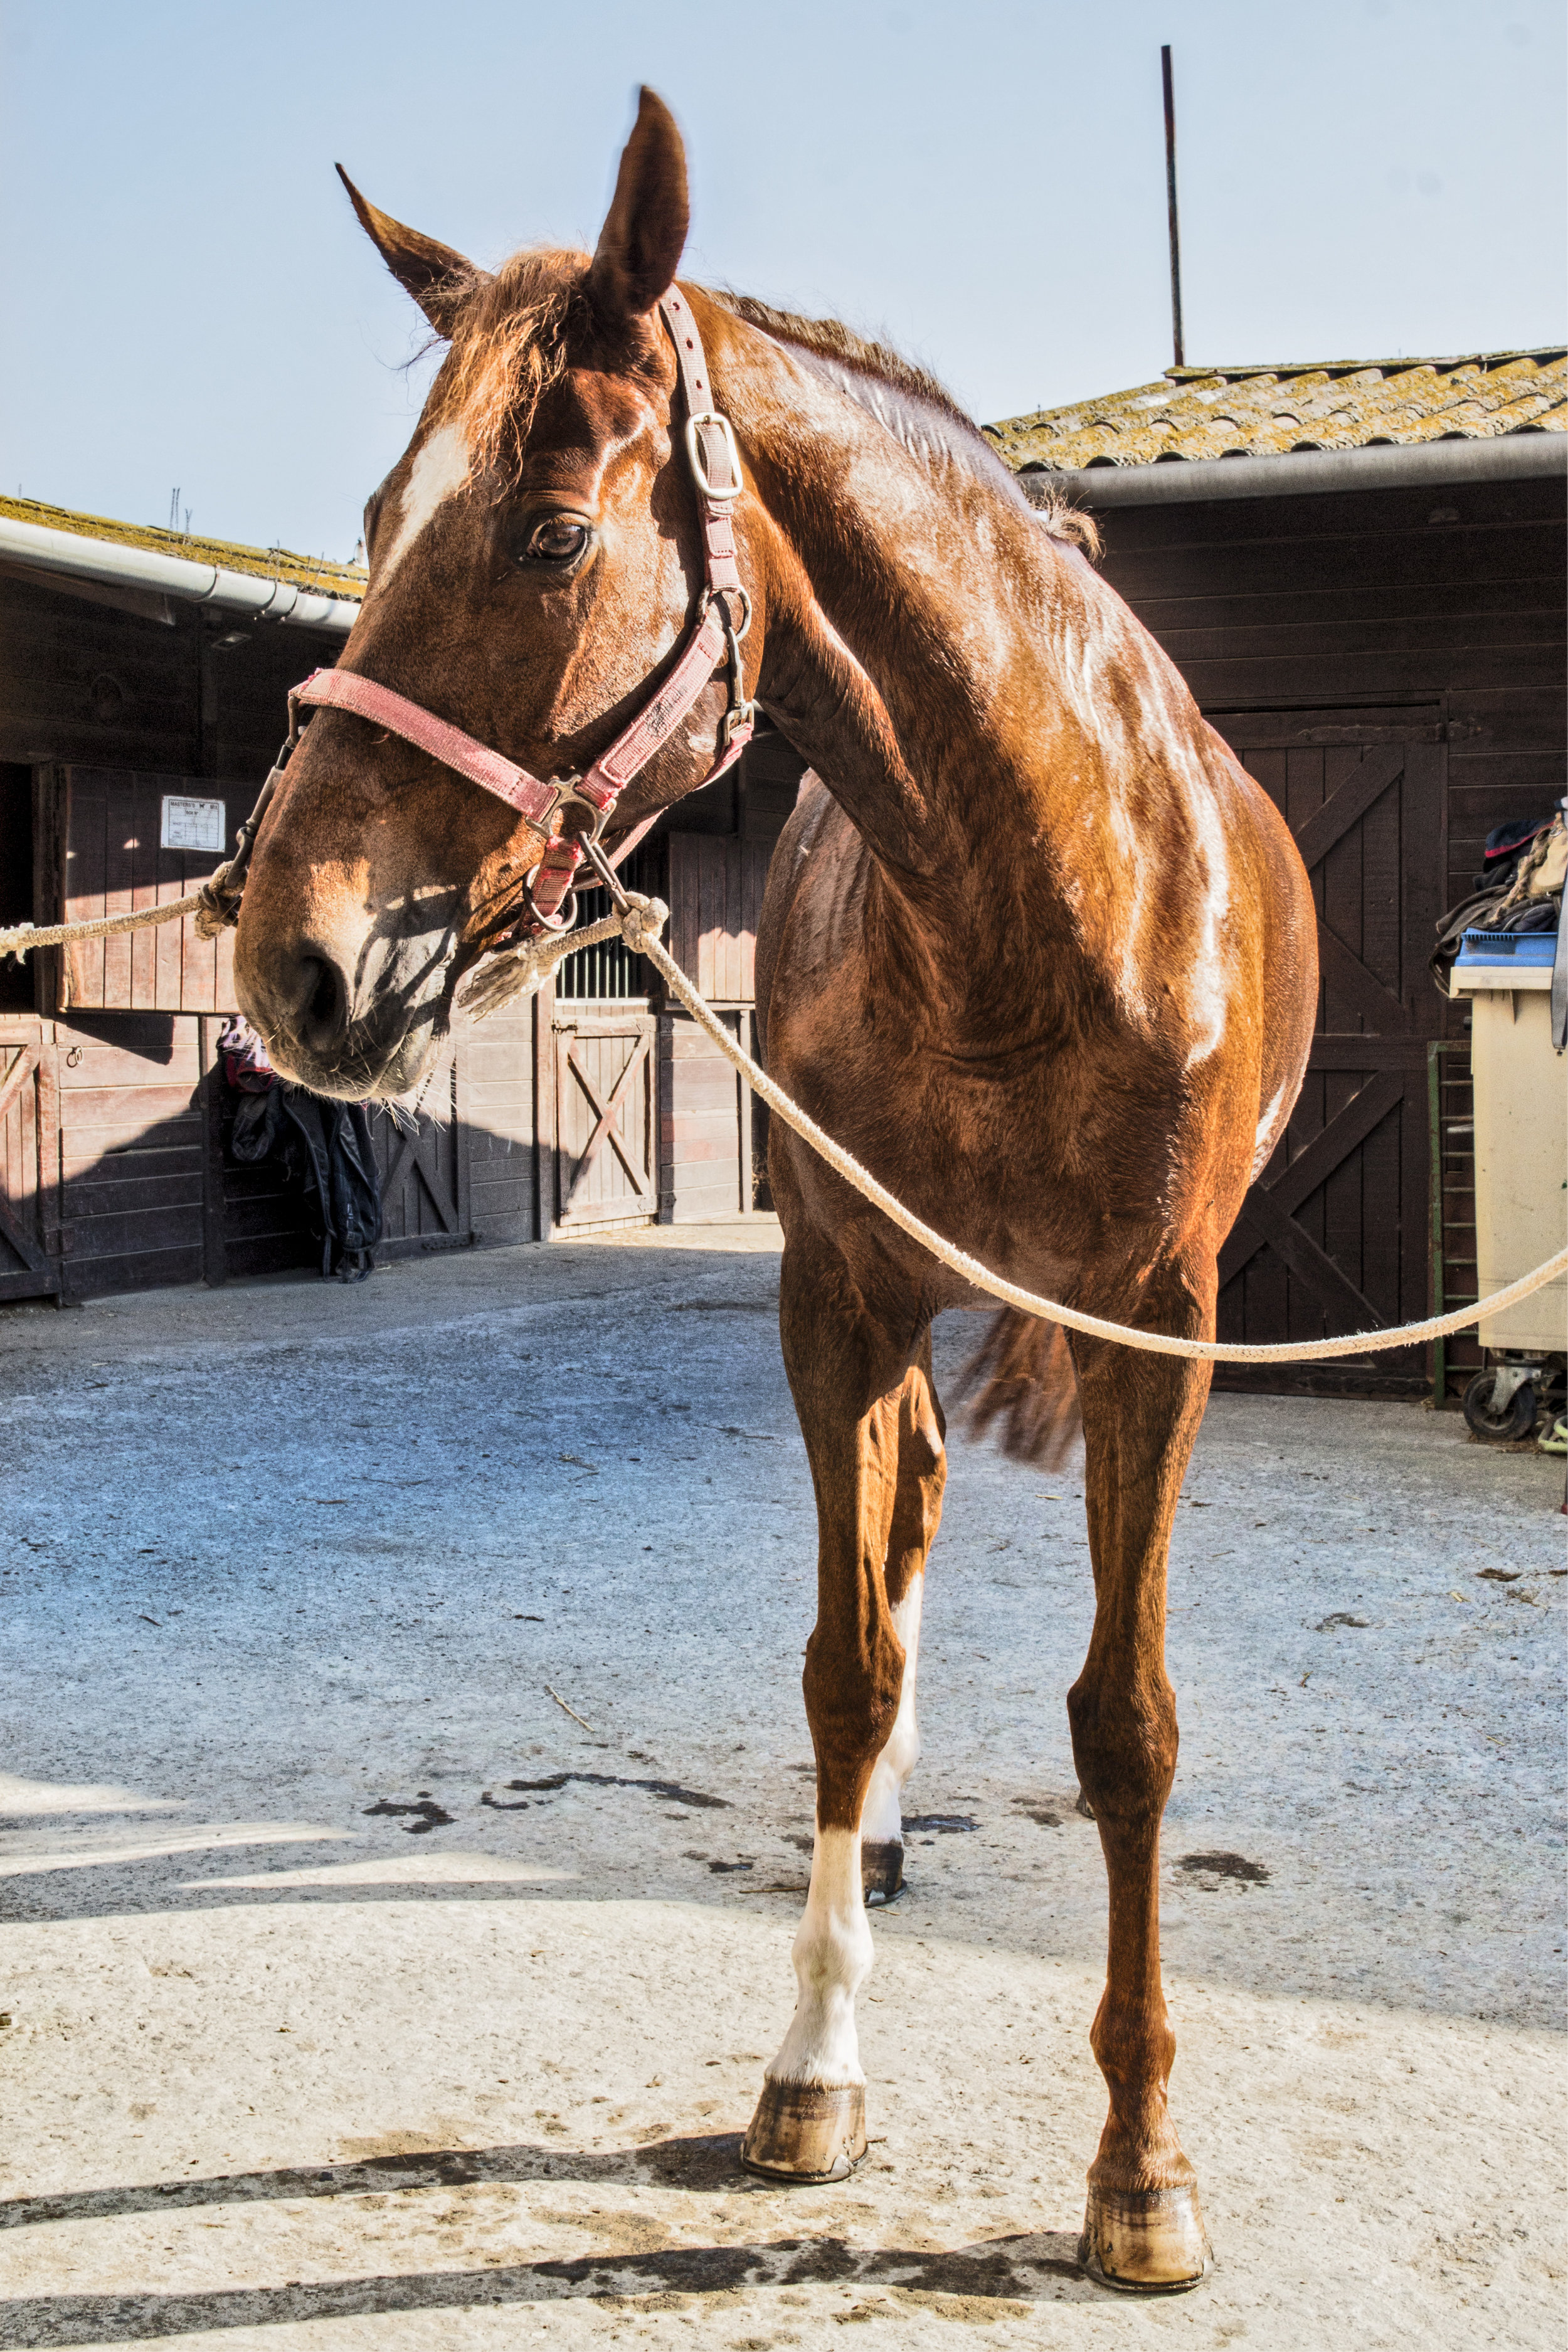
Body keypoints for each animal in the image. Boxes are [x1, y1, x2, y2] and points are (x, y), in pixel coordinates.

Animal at [230, 96, 1316, 2296]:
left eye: (549, 535)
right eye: (375, 516)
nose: (285, 961)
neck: (1028, 902)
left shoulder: (1159, 1329)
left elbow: (1127, 1724)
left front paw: (1139, 2162)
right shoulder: (836, 1295)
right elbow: (844, 1664)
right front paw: (813, 2063)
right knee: (897, 1542)